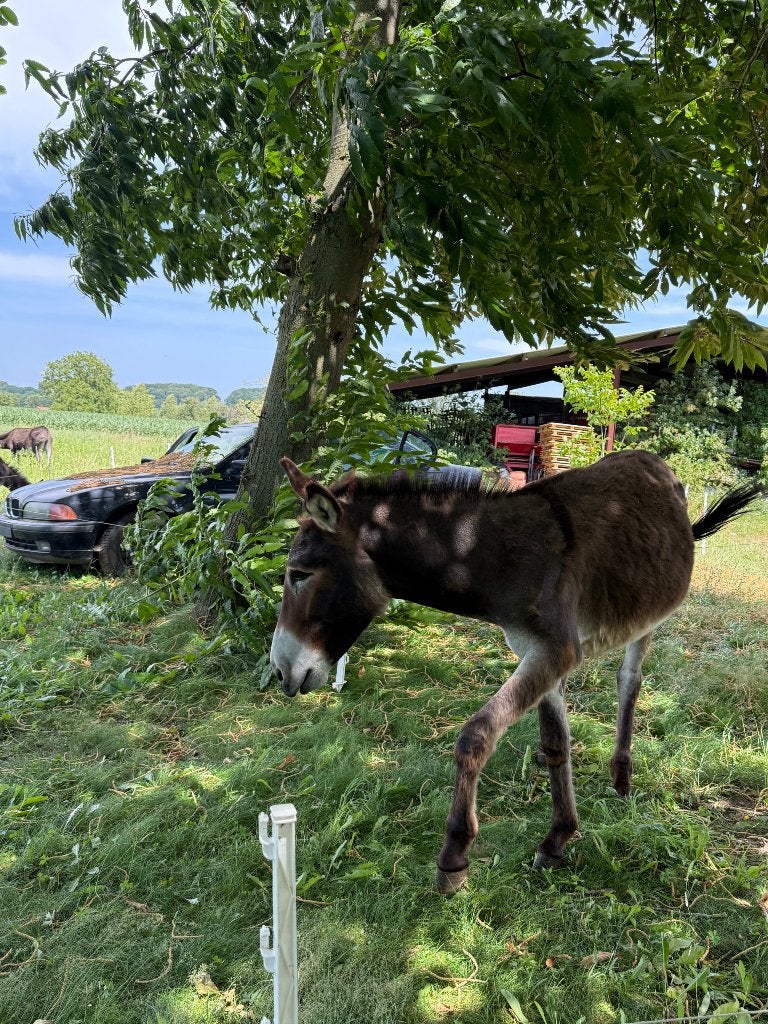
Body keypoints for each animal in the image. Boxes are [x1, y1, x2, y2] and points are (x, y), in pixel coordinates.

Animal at [270, 450, 765, 894]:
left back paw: (622, 777)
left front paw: (455, 856)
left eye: (299, 574)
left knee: (629, 681)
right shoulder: (536, 651)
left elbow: (475, 736)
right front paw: (558, 837)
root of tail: (655, 464)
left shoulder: (553, 652)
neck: (494, 558)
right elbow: (554, 742)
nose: (279, 673)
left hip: (647, 618)